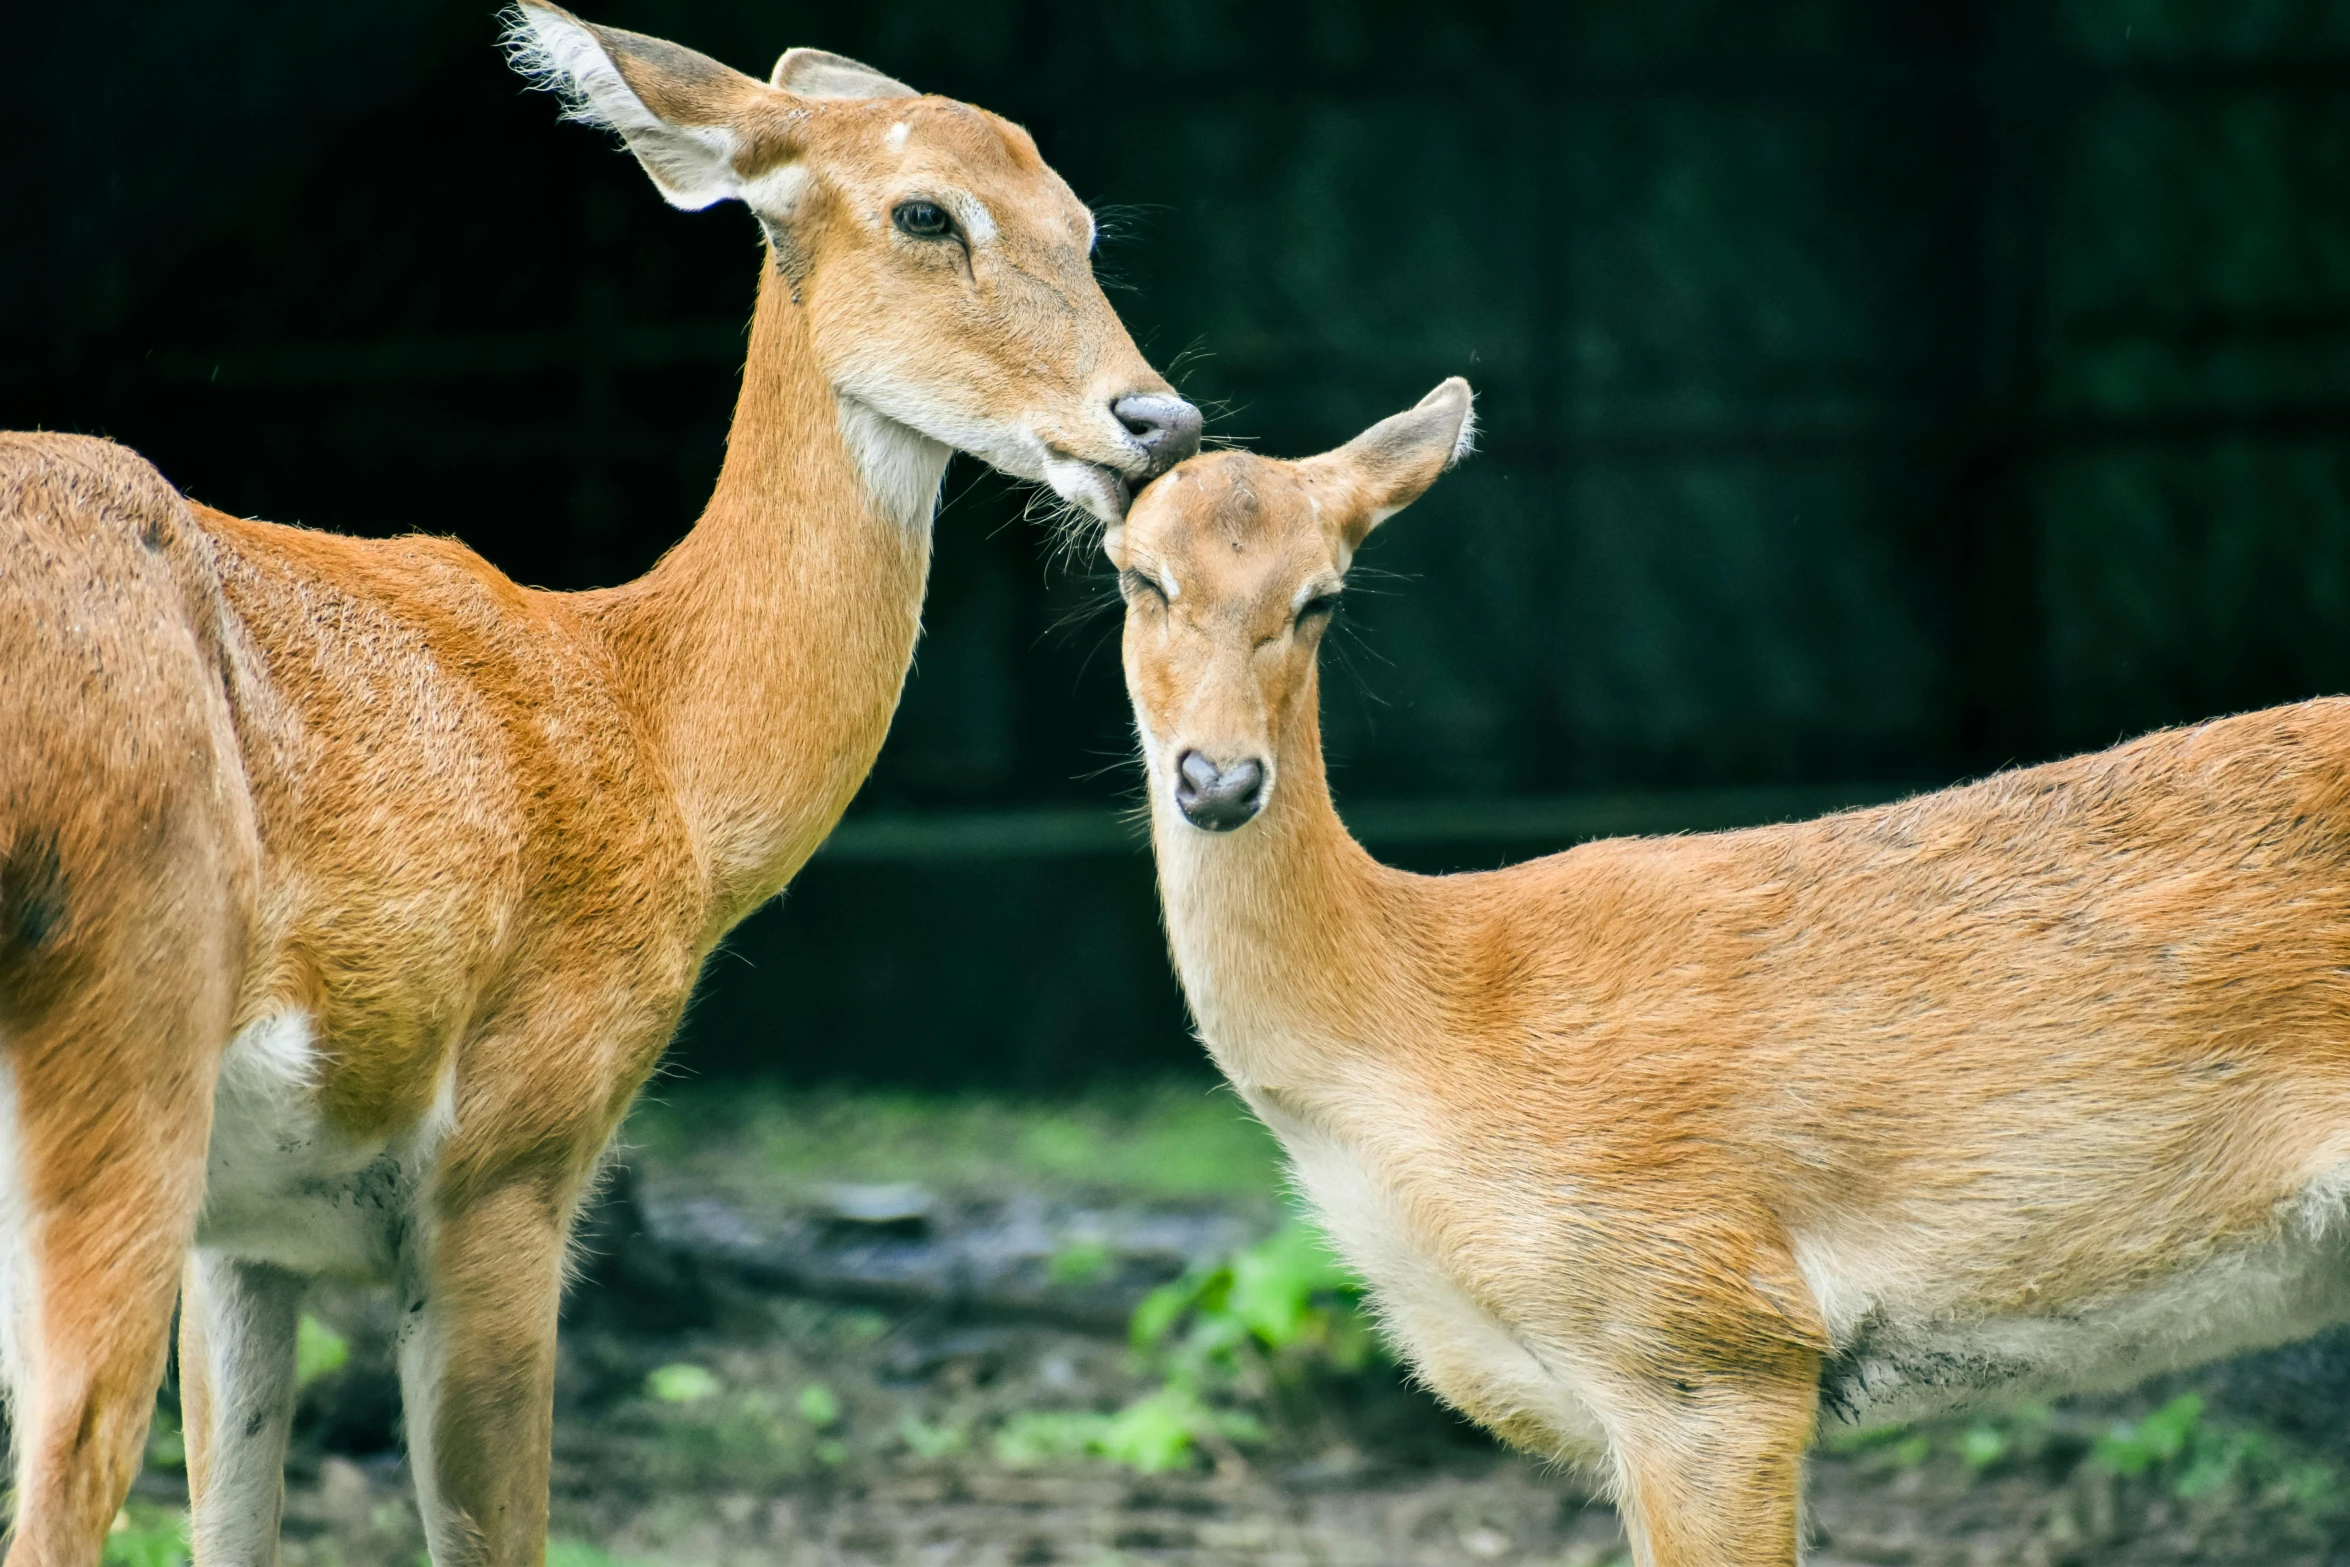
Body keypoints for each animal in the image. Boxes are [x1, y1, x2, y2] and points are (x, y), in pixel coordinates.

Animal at [0, 6, 1193, 1559]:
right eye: (926, 213)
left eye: (1085, 221)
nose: (1156, 420)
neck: (656, 740)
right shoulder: (514, 1155)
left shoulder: (249, 1231)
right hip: (125, 1017)